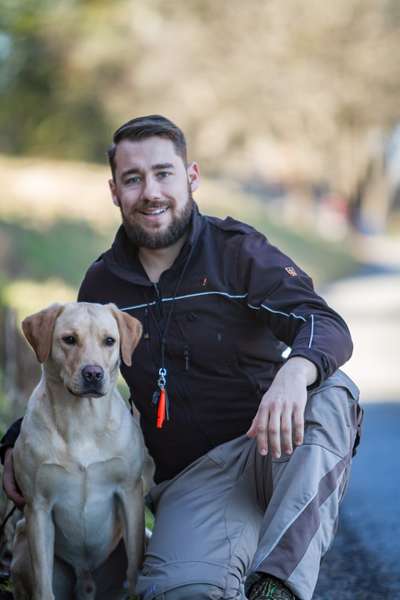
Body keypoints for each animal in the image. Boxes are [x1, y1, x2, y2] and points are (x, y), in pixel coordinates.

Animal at [9, 304, 145, 600]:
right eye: (69, 339)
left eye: (109, 340)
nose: (93, 373)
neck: (82, 418)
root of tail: (86, 583)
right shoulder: (38, 507)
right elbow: (43, 586)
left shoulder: (130, 492)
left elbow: (135, 568)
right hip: (22, 542)